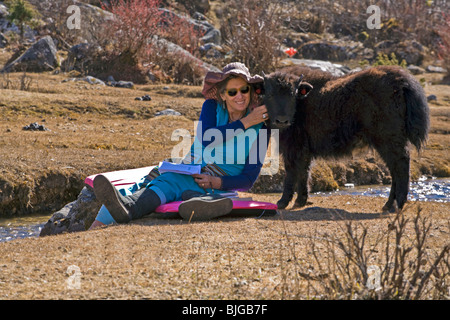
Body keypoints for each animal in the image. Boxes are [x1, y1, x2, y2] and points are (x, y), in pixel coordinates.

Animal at [264, 65, 432, 211]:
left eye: (293, 96)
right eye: (270, 94)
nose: (282, 121)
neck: (301, 102)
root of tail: (402, 83)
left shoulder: (292, 148)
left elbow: (291, 173)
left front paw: (282, 202)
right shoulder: (304, 151)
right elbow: (304, 172)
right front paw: (300, 201)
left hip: (388, 141)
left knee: (400, 166)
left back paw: (396, 205)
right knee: (396, 169)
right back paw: (389, 205)